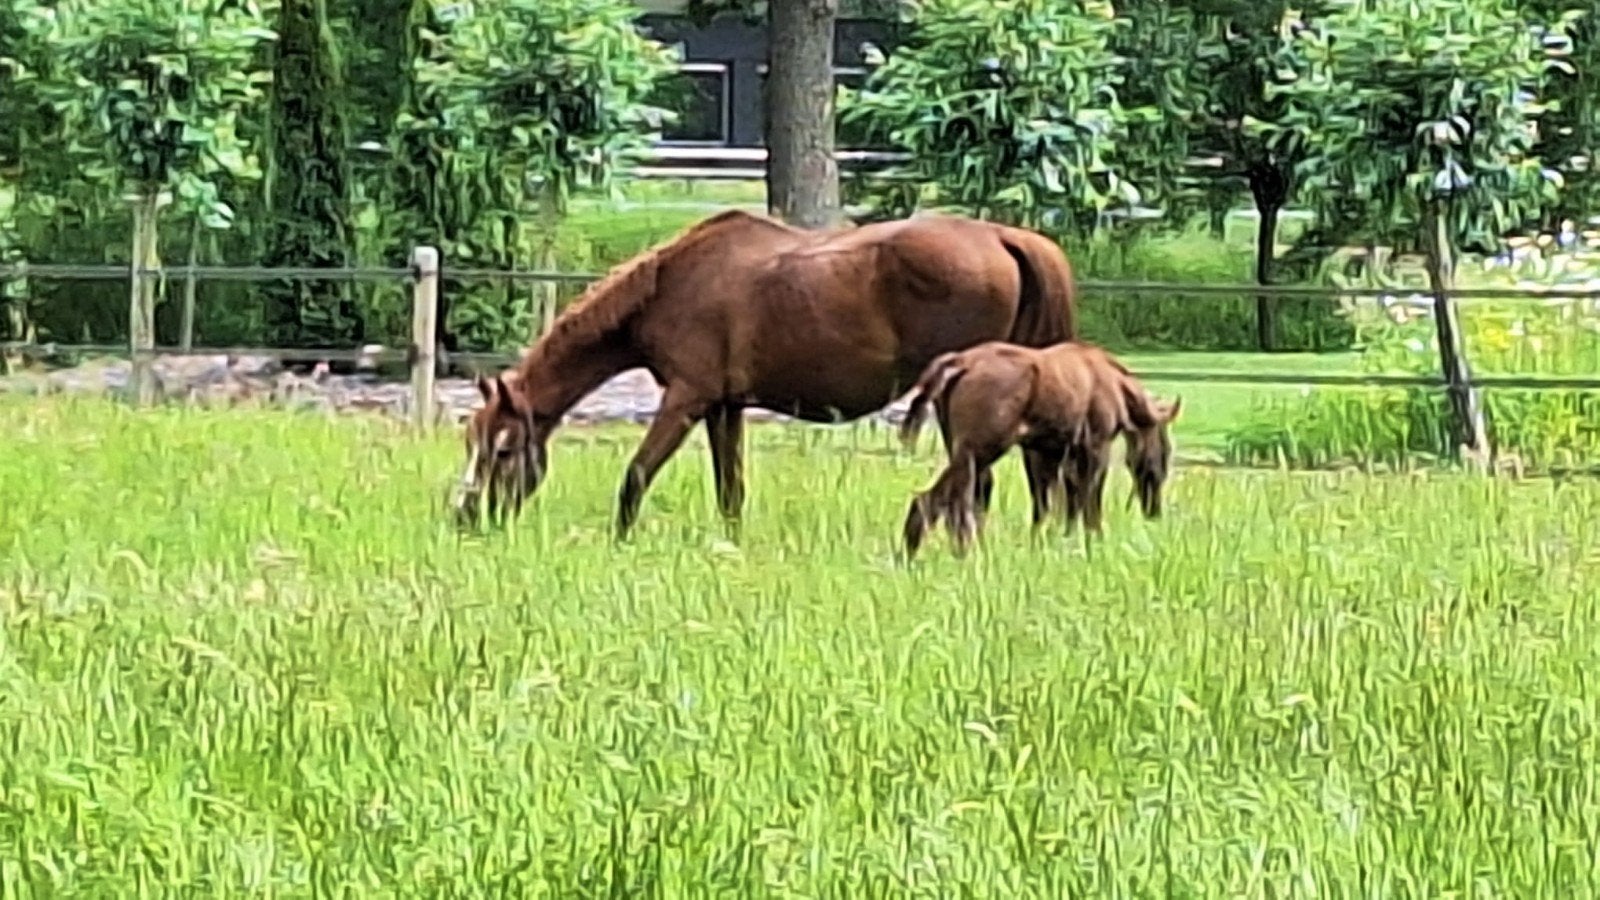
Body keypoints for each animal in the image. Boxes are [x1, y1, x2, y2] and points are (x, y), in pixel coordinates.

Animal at [452, 208, 1079, 537]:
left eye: (502, 450)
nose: (468, 516)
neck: (672, 284)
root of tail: (1001, 235)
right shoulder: (725, 407)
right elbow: (731, 491)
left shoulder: (687, 398)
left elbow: (636, 475)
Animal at [897, 340, 1182, 560]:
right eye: (1165, 452)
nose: (1154, 511)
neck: (1119, 390)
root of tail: (958, 363)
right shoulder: (1095, 445)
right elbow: (1088, 500)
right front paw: (1095, 542)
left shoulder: (1044, 451)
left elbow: (1050, 505)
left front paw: (1050, 543)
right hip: (980, 450)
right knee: (952, 502)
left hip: (962, 449)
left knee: (946, 501)